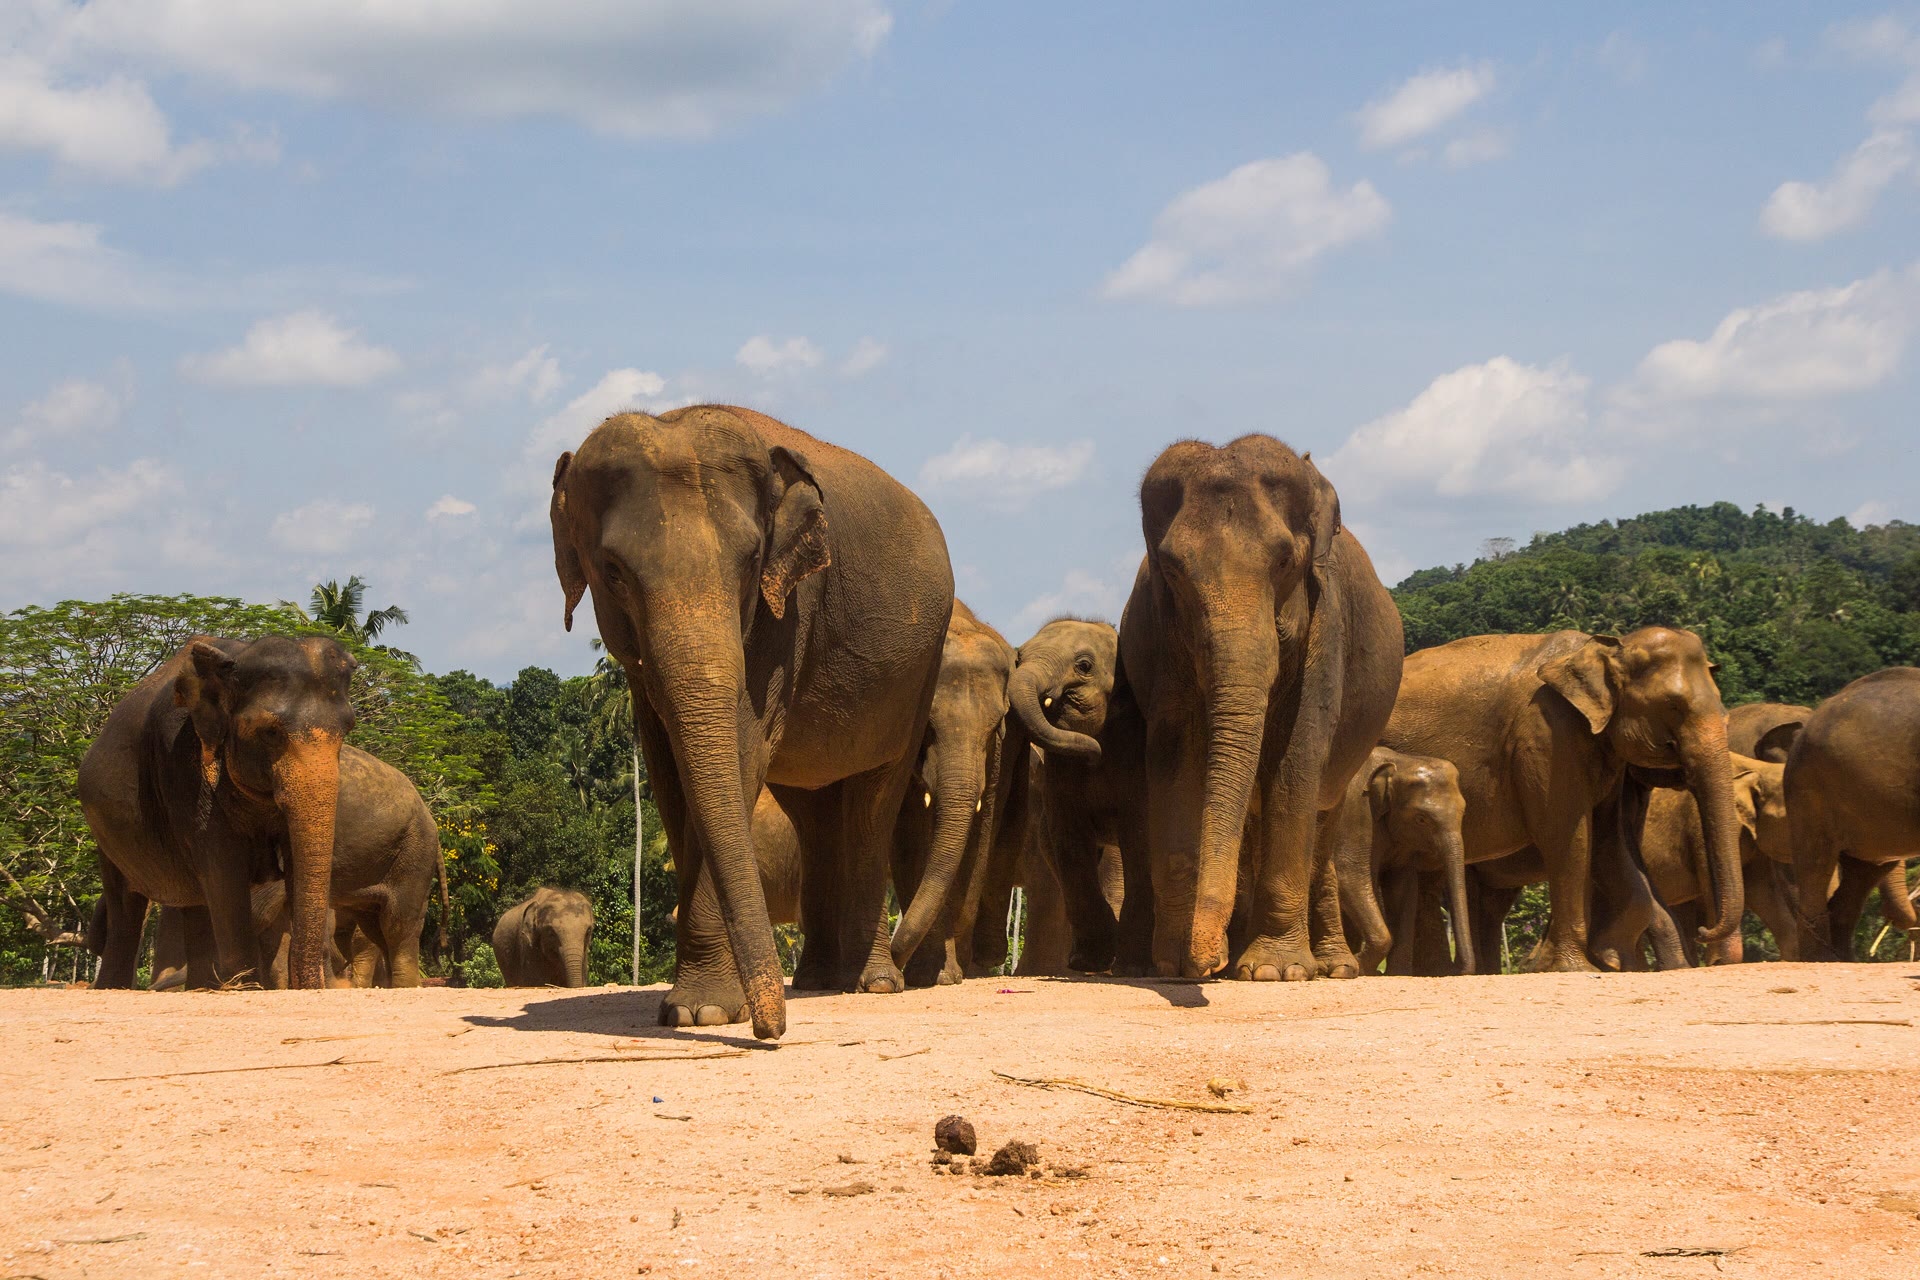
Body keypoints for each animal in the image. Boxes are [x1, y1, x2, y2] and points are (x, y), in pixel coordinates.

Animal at [550, 405, 953, 1038]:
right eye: (613, 572)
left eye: (748, 563)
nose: (772, 1029)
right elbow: (669, 773)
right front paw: (696, 1009)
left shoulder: (788, 611)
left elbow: (744, 749)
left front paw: (705, 1011)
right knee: (814, 812)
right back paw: (817, 980)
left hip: (920, 673)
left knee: (873, 801)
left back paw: (874, 984)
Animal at [1118, 435, 1403, 981]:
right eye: (1172, 569)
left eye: (1285, 561)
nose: (1209, 960)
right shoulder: (1163, 638)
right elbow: (1172, 756)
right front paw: (1175, 965)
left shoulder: (1325, 624)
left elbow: (1297, 759)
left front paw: (1275, 971)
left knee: (1323, 816)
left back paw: (1329, 967)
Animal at [1328, 747, 1474, 976]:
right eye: (1421, 819)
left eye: (1464, 812)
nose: (1456, 966)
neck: (1401, 762)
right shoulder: (1355, 813)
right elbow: (1349, 874)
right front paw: (1361, 967)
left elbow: (1403, 888)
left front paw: (1396, 973)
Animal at [1382, 627, 1744, 972]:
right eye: (1673, 706)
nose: (1704, 931)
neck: (1606, 646)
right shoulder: (1548, 736)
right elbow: (1567, 836)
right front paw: (1576, 967)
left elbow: (1609, 842)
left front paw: (1610, 959)